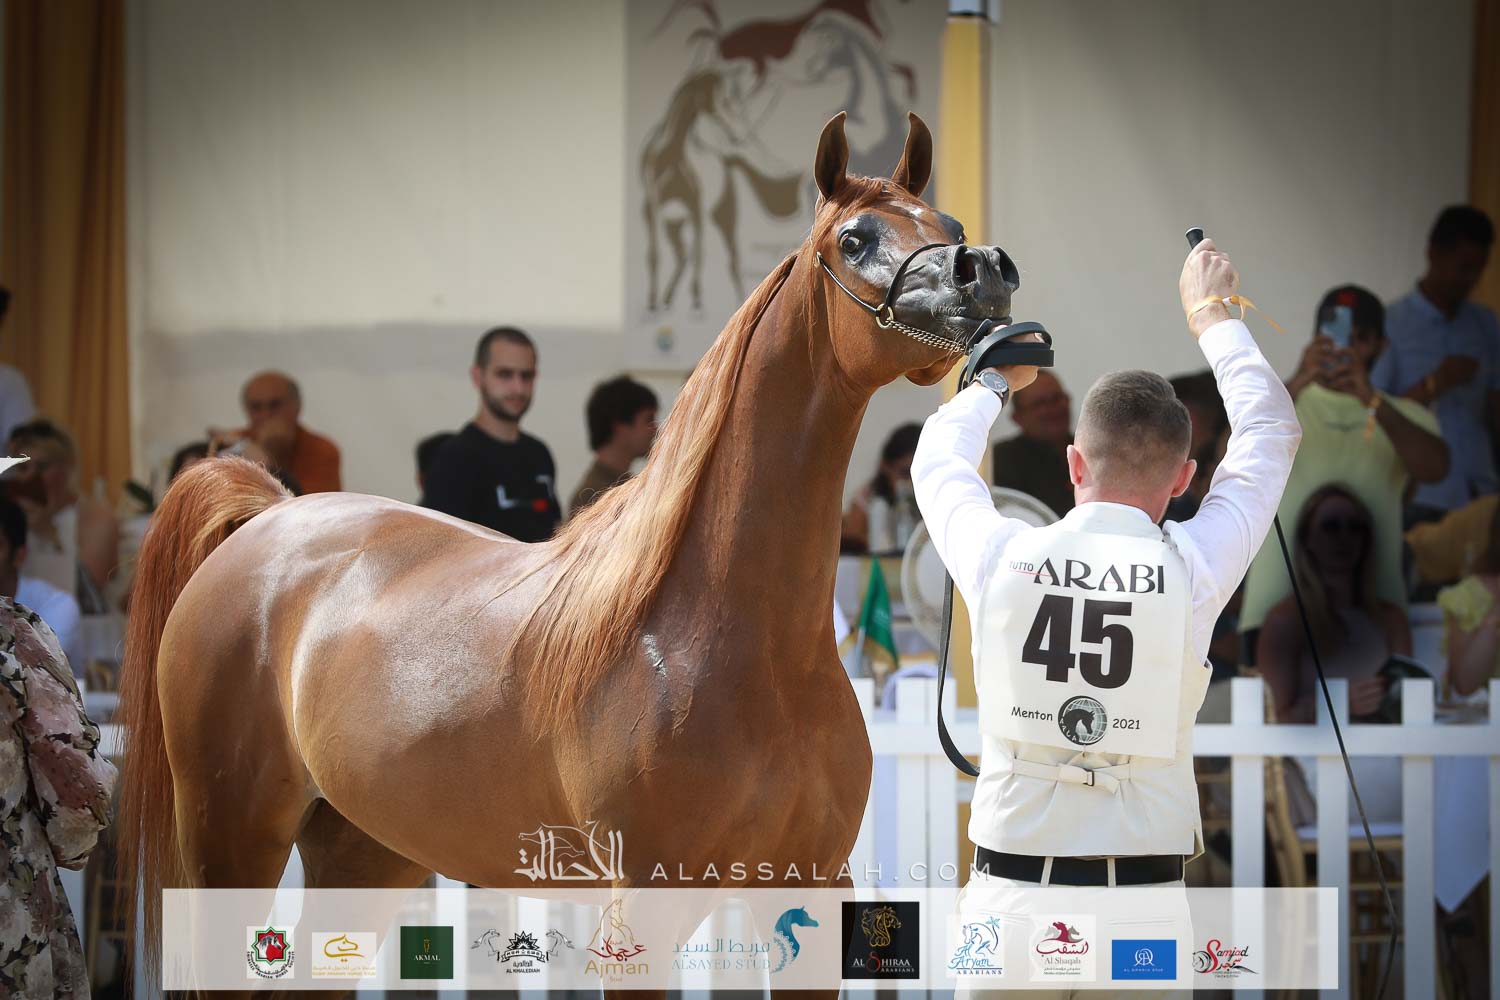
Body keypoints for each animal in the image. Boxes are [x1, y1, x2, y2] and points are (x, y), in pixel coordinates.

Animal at [117, 110, 1020, 999]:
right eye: (856, 239)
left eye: (948, 224)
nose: (983, 271)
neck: (732, 641)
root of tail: (271, 516)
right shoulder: (644, 910)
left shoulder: (810, 890)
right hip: (232, 841)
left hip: (363, 853)